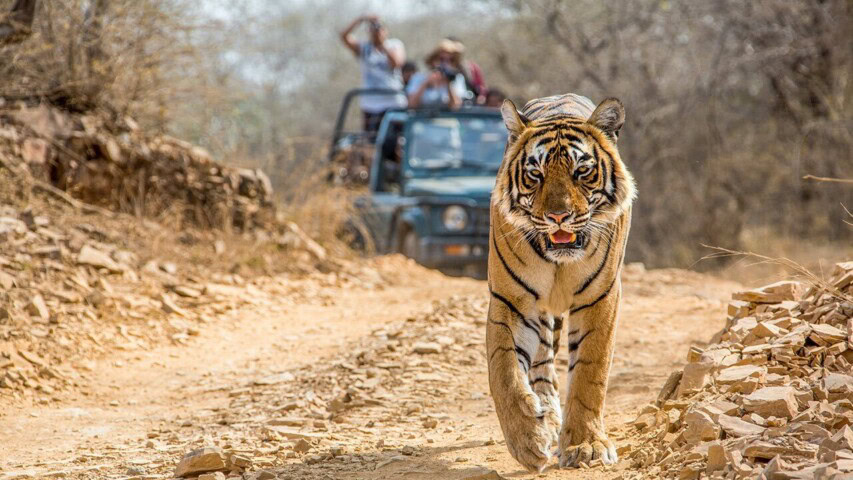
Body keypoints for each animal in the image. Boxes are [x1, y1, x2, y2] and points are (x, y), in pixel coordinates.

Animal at [486, 93, 636, 471]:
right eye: (535, 174)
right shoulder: (511, 300)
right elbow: (504, 371)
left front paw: (586, 446)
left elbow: (589, 374)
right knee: (541, 364)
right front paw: (527, 440)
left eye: (581, 171)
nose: (558, 216)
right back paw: (546, 416)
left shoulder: (601, 298)